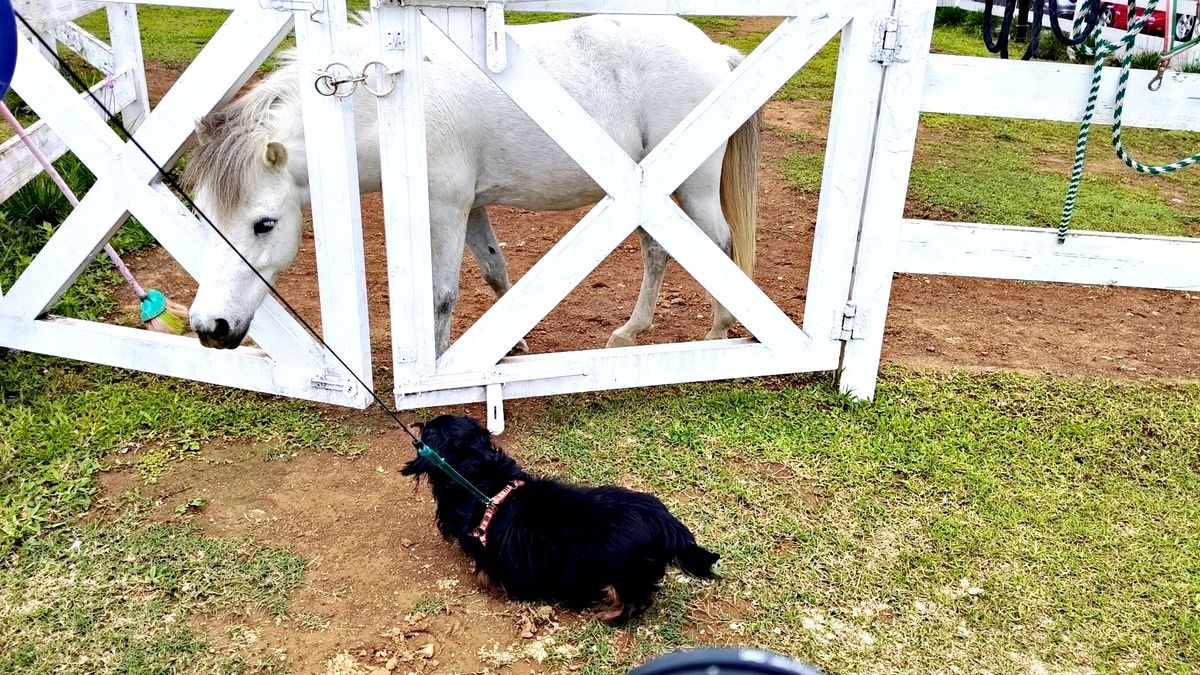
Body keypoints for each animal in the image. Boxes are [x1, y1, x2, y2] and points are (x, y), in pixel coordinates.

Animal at [184, 12, 761, 357]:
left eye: (264, 224)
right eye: (201, 216)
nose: (210, 328)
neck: (388, 108)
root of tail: (715, 51)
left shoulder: (445, 210)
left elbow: (442, 295)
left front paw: (440, 367)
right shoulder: (473, 208)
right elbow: (495, 273)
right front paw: (512, 343)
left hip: (692, 188)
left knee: (721, 246)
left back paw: (718, 331)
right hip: (648, 193)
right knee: (659, 251)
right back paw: (630, 332)